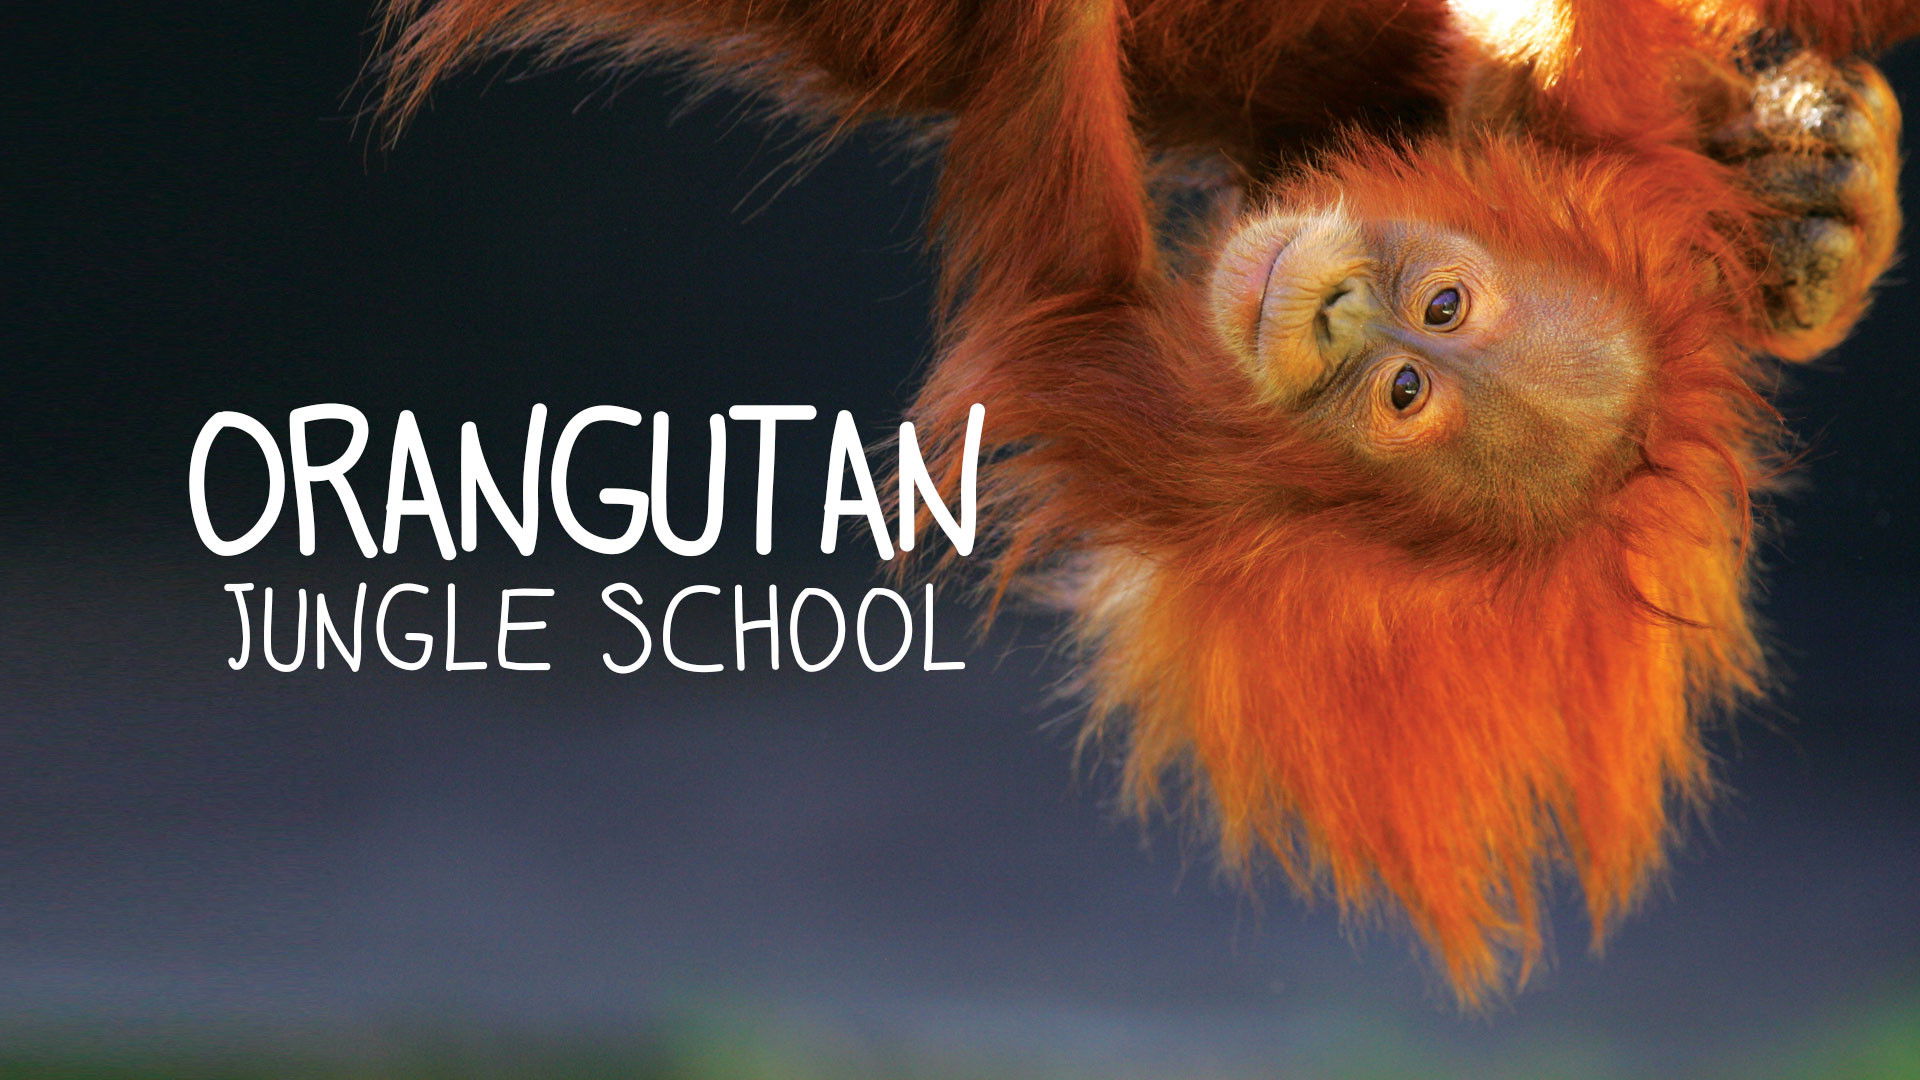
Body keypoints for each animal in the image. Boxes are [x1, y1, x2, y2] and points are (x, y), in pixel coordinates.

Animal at [374, 0, 1914, 1004]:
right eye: (1442, 309)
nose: (1342, 317)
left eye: (1406, 394)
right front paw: (1790, 185)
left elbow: (1064, 270)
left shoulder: (1176, 446)